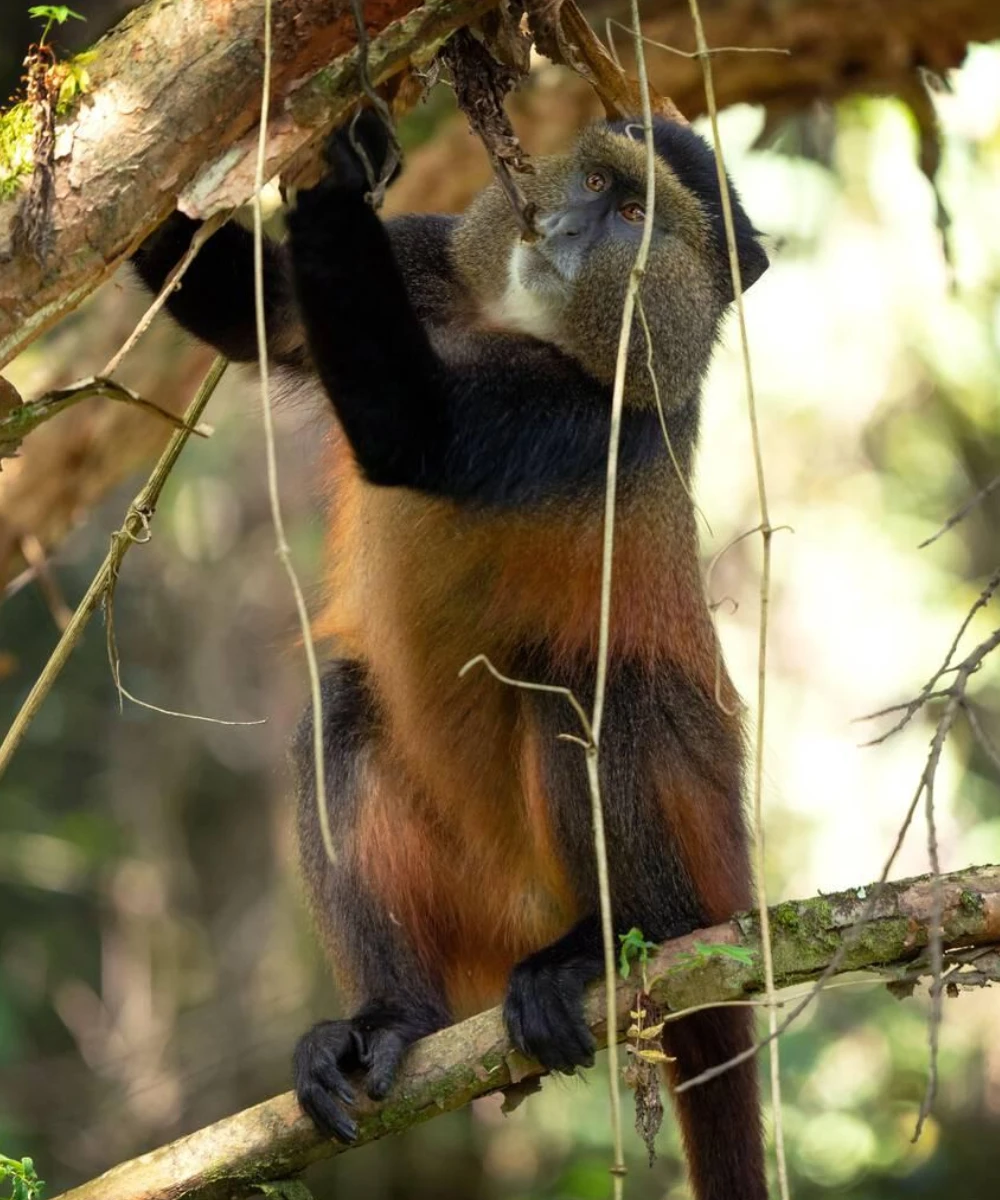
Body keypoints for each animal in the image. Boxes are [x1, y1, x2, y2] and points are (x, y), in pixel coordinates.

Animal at [133, 108, 770, 1200]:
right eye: (591, 181)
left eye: (635, 216)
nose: (559, 227)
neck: (517, 326)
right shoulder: (427, 260)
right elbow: (256, 308)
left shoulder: (584, 417)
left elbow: (411, 431)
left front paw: (335, 173)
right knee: (343, 706)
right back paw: (393, 1017)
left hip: (694, 860)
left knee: (585, 689)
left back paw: (598, 950)